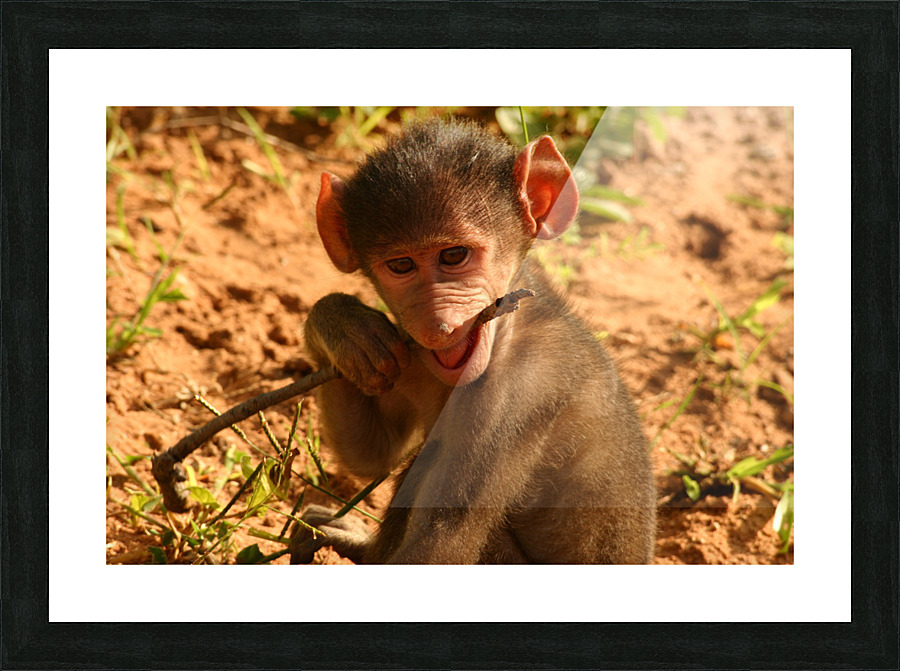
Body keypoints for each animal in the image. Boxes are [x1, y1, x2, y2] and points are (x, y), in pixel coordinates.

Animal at [290, 119, 656, 564]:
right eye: (401, 265)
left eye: (454, 256)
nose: (439, 326)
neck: (507, 332)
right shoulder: (407, 353)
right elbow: (374, 453)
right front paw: (343, 326)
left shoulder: (518, 395)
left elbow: (445, 537)